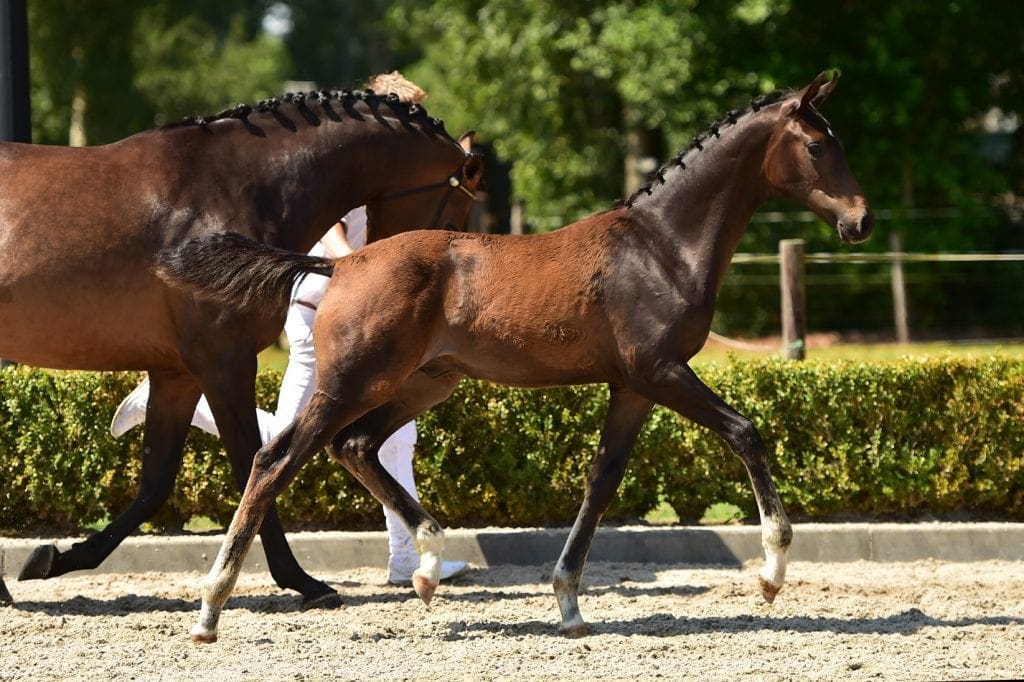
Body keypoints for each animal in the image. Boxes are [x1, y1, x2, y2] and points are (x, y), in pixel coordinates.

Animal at [0, 88, 484, 608]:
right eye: (453, 217)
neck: (237, 186)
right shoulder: (225, 362)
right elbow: (255, 463)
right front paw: (302, 581)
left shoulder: (178, 374)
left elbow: (157, 482)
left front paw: (56, 558)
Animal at [157, 71, 873, 642]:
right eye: (817, 145)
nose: (860, 221)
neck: (661, 247)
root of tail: (340, 265)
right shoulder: (661, 371)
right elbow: (746, 432)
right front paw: (772, 573)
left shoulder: (634, 387)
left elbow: (602, 480)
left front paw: (570, 605)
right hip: (353, 380)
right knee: (276, 459)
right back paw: (211, 610)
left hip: (423, 383)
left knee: (354, 445)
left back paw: (427, 564)